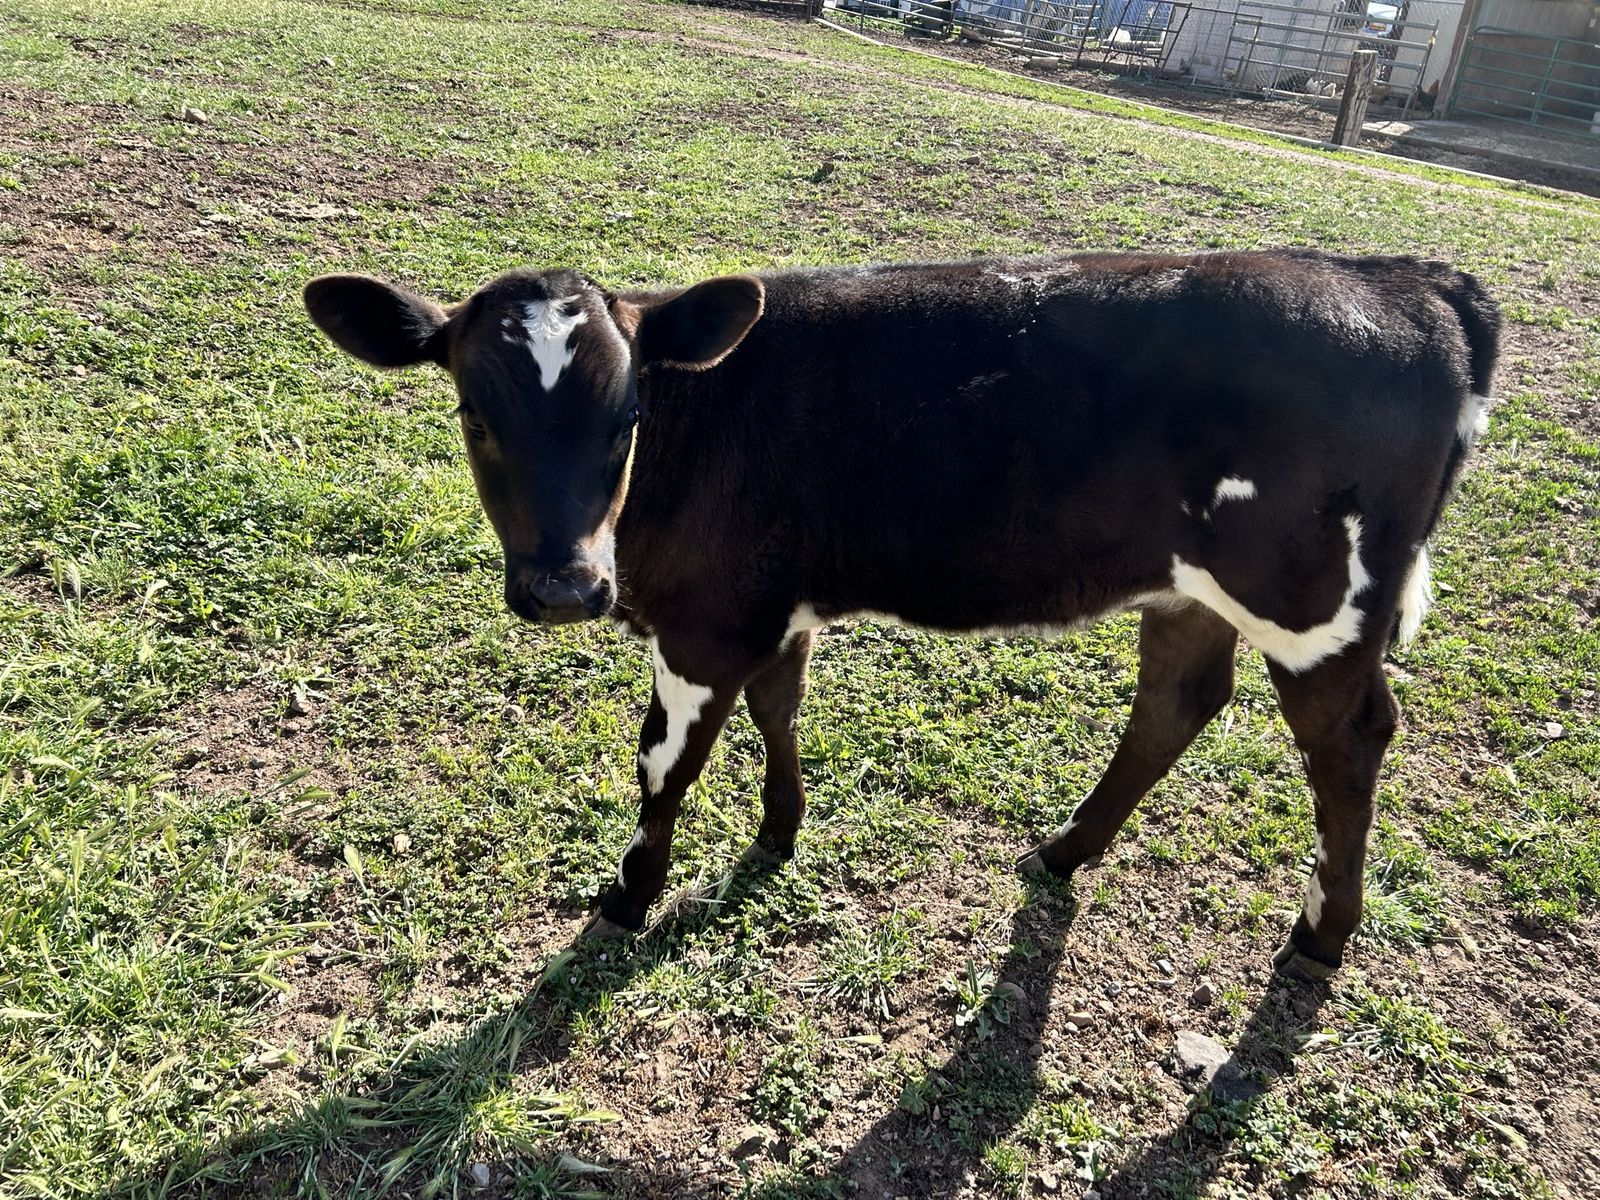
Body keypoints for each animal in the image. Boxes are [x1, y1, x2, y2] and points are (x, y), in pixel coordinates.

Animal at [303, 249, 1498, 981]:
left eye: (629, 410)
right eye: (473, 408)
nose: (563, 586)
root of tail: (1405, 277)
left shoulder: (703, 622)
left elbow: (663, 764)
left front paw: (631, 894)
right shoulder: (768, 602)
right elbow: (779, 710)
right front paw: (779, 832)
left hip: (1314, 603)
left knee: (1349, 740)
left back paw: (1322, 933)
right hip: (1189, 582)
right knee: (1178, 698)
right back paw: (1066, 850)